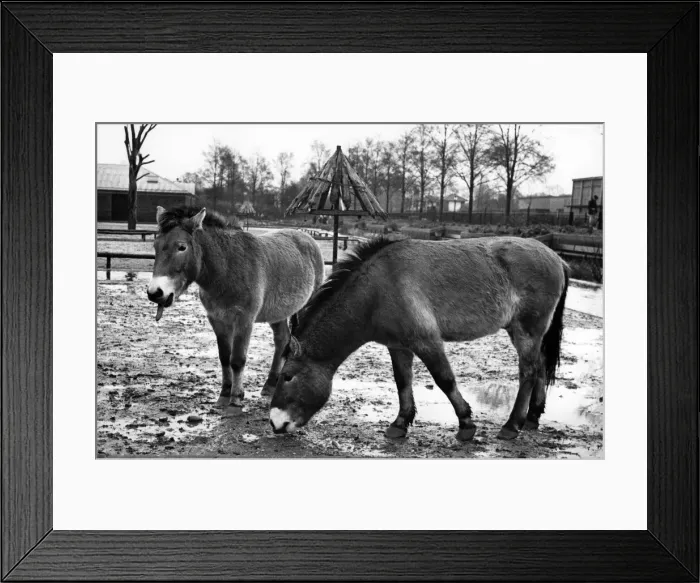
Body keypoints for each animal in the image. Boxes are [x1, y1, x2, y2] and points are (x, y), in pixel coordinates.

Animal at [147, 206, 324, 408]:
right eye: (156, 246)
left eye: (181, 247)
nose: (155, 293)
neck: (227, 268)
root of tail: (306, 237)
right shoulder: (217, 320)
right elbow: (225, 357)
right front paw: (225, 391)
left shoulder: (244, 320)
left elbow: (238, 359)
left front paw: (237, 396)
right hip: (277, 314)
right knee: (282, 340)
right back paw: (270, 384)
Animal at [269, 235, 569, 441]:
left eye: (288, 376)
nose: (275, 423)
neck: (378, 289)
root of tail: (556, 257)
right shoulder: (399, 346)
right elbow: (402, 382)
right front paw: (400, 424)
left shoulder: (427, 342)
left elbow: (445, 380)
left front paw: (466, 425)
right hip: (529, 333)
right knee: (540, 366)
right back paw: (532, 417)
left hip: (526, 332)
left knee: (528, 371)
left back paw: (512, 425)